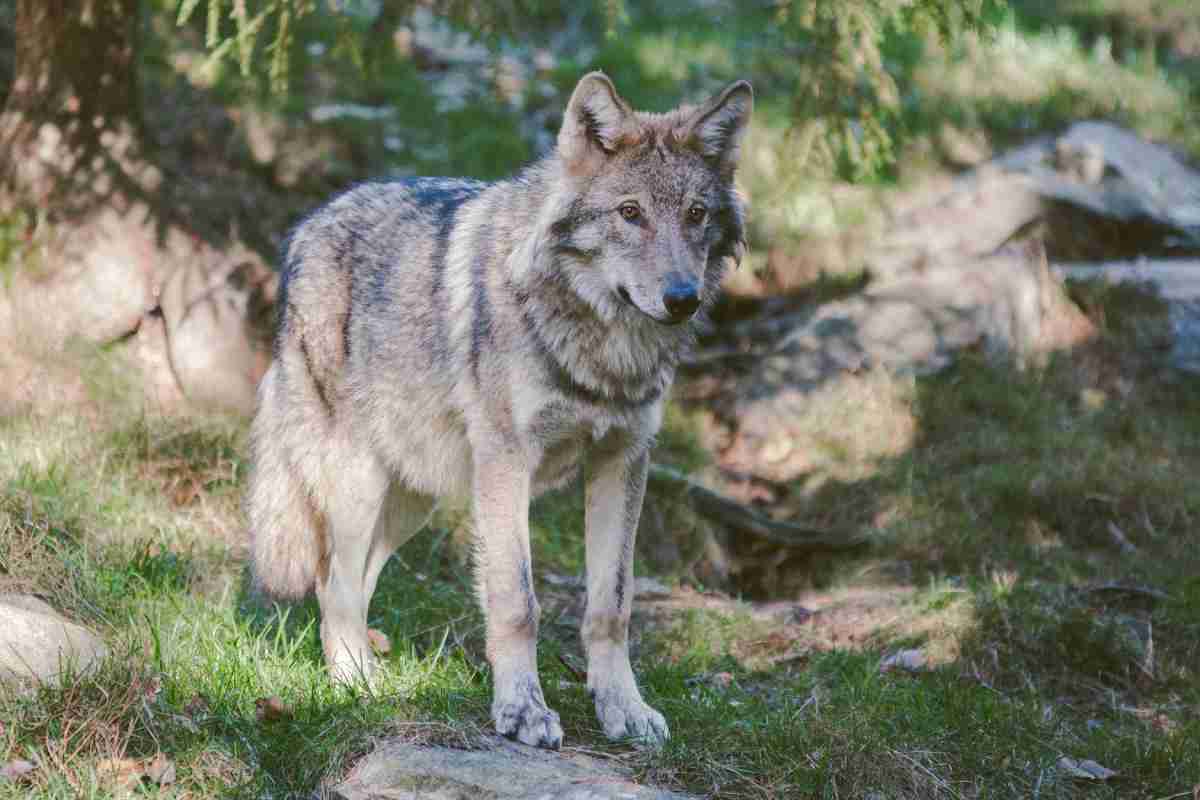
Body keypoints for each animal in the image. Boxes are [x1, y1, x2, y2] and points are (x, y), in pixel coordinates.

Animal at [246, 70, 748, 753]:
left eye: (696, 214)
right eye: (630, 213)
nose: (682, 299)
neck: (602, 348)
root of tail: (306, 228)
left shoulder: (622, 461)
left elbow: (611, 605)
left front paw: (623, 708)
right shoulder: (509, 465)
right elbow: (517, 601)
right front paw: (521, 712)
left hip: (414, 499)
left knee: (353, 582)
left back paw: (374, 673)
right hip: (358, 485)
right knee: (334, 584)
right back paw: (357, 686)